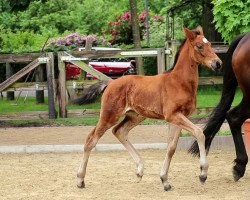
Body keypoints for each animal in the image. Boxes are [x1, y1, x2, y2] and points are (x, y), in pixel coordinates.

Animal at [74, 26, 221, 191]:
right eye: (199, 46)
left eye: (210, 45)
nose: (218, 63)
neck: (179, 82)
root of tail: (110, 83)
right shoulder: (172, 116)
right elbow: (199, 133)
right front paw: (203, 174)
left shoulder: (180, 117)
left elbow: (171, 147)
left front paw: (165, 180)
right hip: (109, 116)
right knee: (91, 140)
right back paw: (80, 179)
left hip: (135, 116)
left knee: (119, 131)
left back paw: (140, 170)